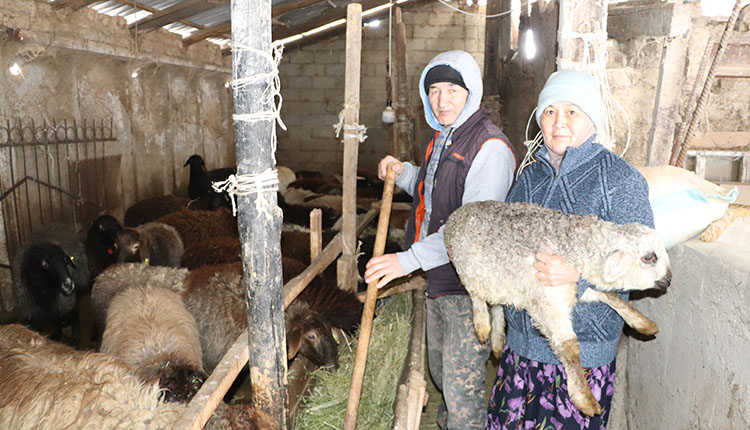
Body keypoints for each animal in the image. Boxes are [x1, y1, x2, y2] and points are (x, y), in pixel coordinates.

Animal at [446, 202, 676, 416]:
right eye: (649, 257)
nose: (669, 279)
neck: (578, 248)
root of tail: (456, 215)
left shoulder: (575, 285)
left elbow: (611, 297)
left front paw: (643, 322)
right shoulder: (547, 301)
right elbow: (569, 346)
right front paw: (584, 397)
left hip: (499, 279)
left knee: (496, 303)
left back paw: (496, 341)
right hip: (471, 269)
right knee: (477, 296)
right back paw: (482, 326)